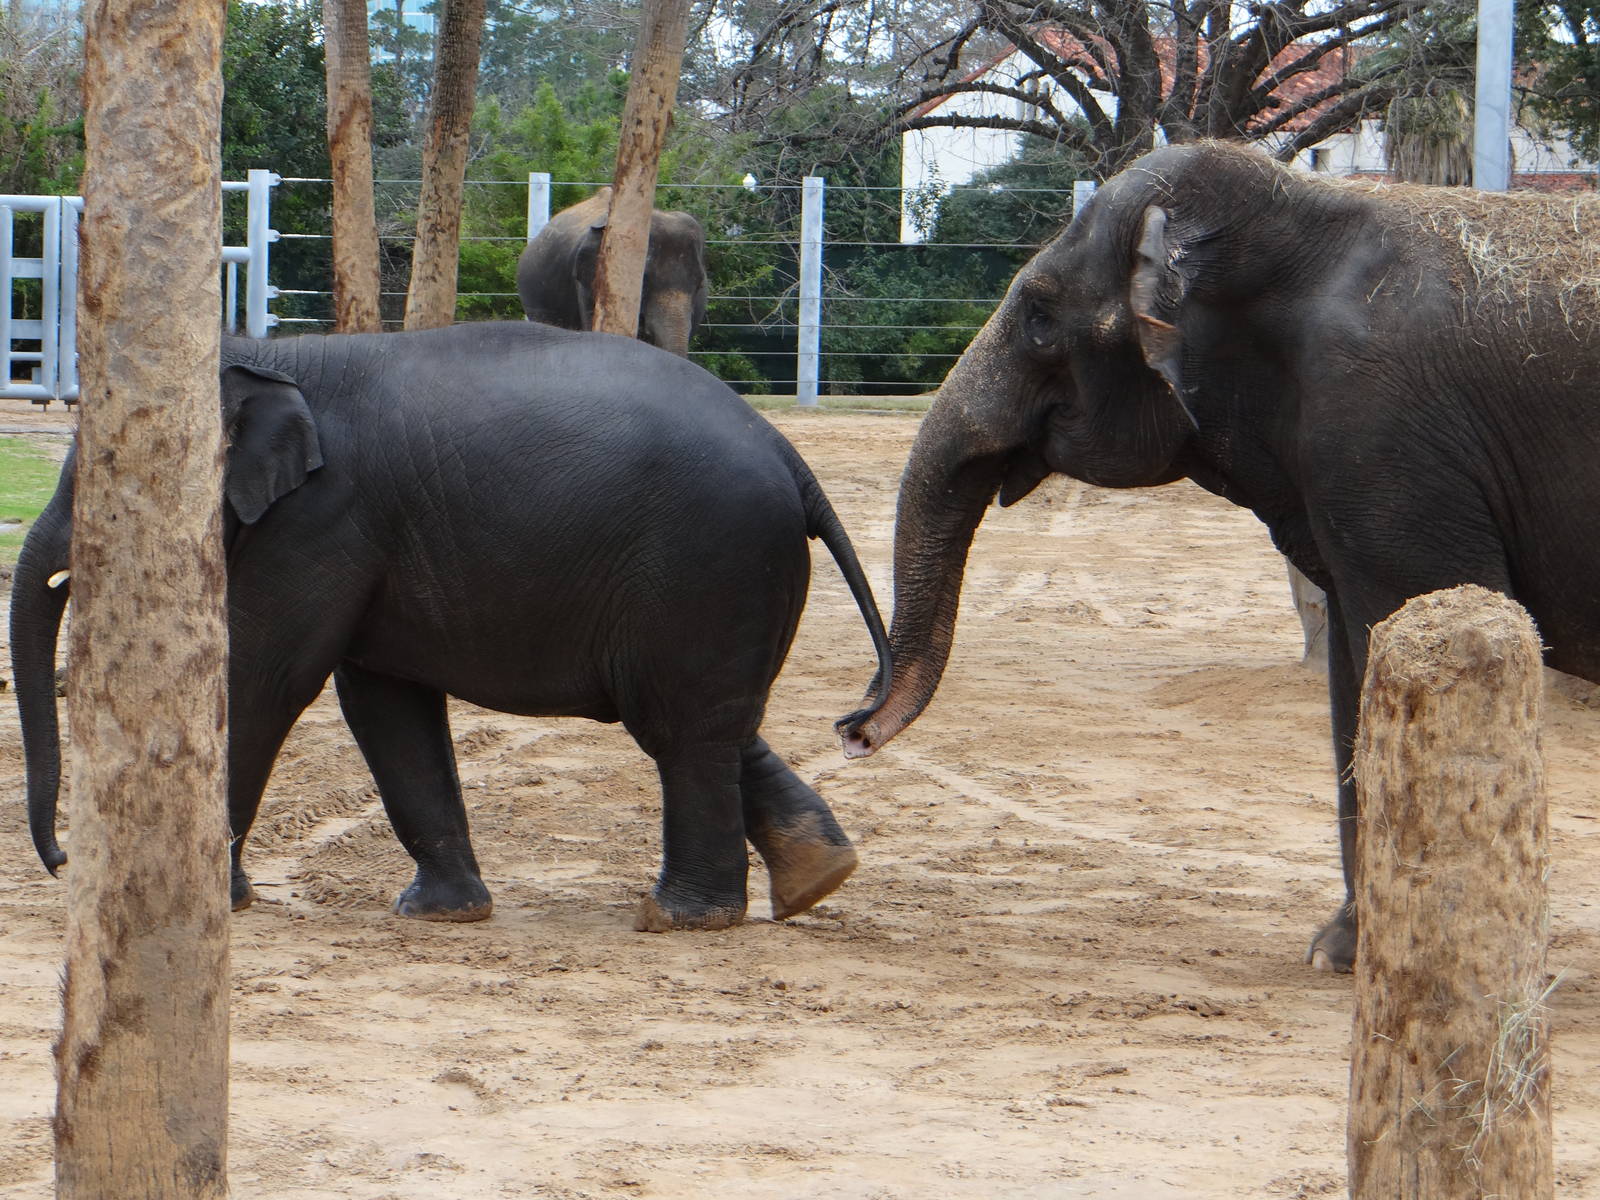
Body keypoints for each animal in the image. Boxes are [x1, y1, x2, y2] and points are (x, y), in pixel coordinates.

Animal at [14, 321, 891, 933]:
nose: (60, 860)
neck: (272, 355)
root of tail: (793, 460)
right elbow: (383, 703)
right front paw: (442, 915)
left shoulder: (320, 520)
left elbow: (262, 677)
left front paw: (218, 907)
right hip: (727, 579)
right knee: (714, 722)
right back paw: (818, 876)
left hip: (705, 563)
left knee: (680, 730)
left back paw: (681, 919)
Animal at [836, 140, 1600, 972]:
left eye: (1038, 318)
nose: (852, 729)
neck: (1299, 209)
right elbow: (1353, 671)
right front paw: (1339, 952)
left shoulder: (1387, 440)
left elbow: (1418, 614)